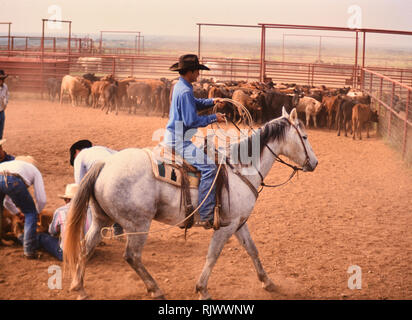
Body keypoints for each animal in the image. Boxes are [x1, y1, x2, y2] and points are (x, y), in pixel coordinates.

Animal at [63, 107, 318, 300]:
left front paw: (268, 282)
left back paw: (80, 288)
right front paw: (202, 289)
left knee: (86, 247)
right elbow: (213, 255)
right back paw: (155, 289)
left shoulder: (239, 222)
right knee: (131, 256)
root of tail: (105, 163)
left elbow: (252, 250)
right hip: (138, 224)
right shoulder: (226, 226)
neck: (241, 169)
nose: (314, 163)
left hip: (101, 218)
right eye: (305, 137)